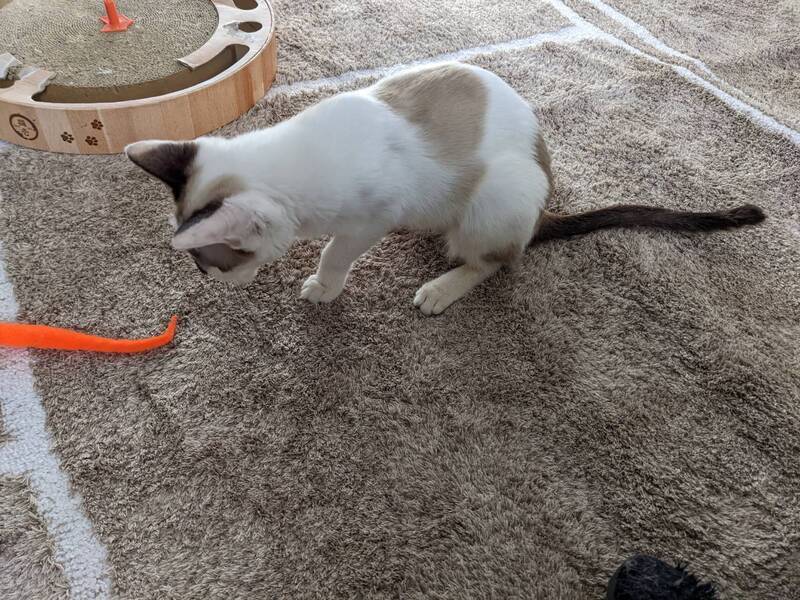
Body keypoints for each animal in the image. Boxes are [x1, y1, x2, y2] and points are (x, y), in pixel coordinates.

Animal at [125, 62, 764, 315]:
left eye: (213, 262)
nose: (214, 283)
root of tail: (544, 195)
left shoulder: (368, 221)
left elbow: (334, 251)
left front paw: (323, 286)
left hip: (500, 193)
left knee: (497, 259)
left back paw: (442, 287)